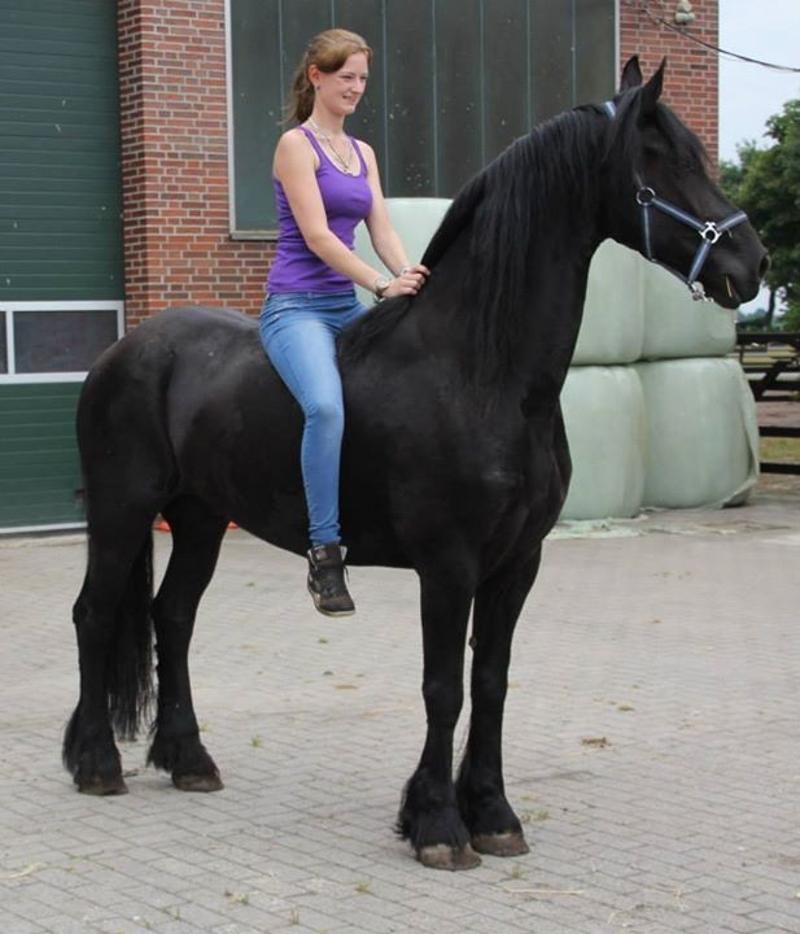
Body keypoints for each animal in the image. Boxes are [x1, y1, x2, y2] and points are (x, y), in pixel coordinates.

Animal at [63, 57, 767, 871]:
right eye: (662, 158)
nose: (754, 262)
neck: (481, 371)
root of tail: (126, 350)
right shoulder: (449, 564)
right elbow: (443, 688)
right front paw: (437, 824)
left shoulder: (517, 562)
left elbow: (490, 682)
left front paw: (492, 813)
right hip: (123, 511)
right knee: (94, 614)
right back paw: (96, 763)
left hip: (203, 519)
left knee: (172, 617)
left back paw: (189, 760)